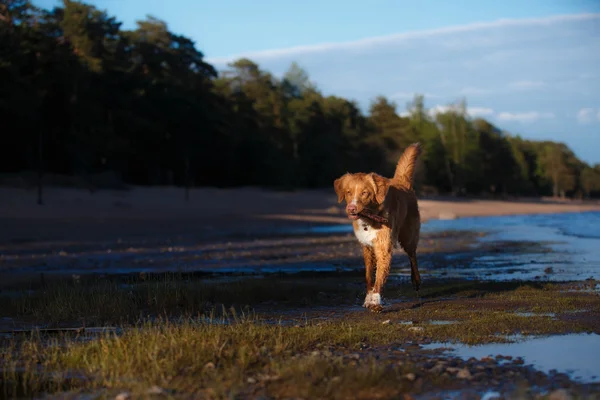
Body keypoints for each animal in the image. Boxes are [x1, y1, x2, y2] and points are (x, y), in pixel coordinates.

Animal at [332, 142, 422, 310]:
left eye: (365, 193)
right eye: (348, 192)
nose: (351, 209)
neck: (369, 219)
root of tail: (401, 181)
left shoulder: (383, 247)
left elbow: (380, 276)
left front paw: (375, 299)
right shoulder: (367, 247)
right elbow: (369, 275)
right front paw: (368, 297)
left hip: (408, 236)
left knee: (412, 255)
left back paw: (416, 280)